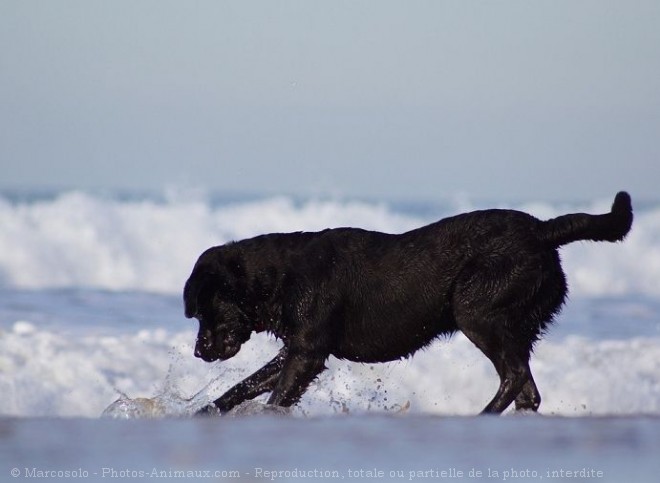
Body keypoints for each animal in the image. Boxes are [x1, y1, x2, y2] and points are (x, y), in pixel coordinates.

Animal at [183, 191, 632, 414]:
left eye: (204, 312)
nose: (199, 351)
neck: (281, 277)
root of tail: (542, 230)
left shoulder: (307, 352)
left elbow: (274, 397)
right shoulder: (296, 350)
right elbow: (241, 388)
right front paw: (206, 414)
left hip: (477, 312)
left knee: (515, 375)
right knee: (527, 392)